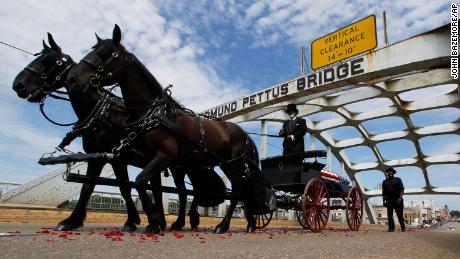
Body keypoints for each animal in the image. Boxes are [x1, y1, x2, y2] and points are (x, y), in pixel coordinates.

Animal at [10, 34, 204, 232]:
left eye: (48, 61)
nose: (18, 85)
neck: (102, 113)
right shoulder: (99, 156)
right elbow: (95, 185)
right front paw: (73, 220)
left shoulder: (115, 158)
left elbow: (117, 187)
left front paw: (132, 221)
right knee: (171, 189)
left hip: (184, 166)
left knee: (187, 191)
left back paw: (185, 220)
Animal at [68, 25, 274, 235]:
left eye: (105, 54)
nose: (73, 77)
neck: (153, 113)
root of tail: (246, 135)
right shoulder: (153, 160)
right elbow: (148, 187)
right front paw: (157, 220)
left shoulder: (164, 155)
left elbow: (140, 182)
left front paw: (154, 220)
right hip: (228, 165)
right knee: (243, 190)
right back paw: (250, 222)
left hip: (233, 164)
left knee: (238, 191)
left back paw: (223, 225)